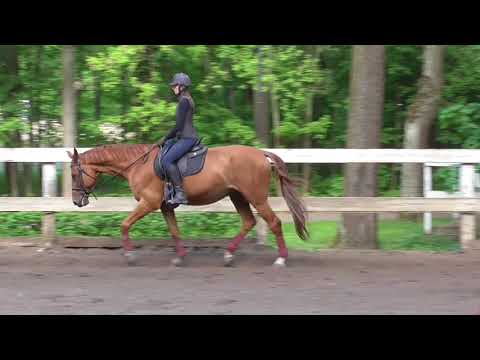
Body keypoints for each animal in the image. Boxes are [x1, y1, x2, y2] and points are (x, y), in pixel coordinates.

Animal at [66, 143, 308, 268]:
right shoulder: (165, 206)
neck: (138, 165)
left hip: (256, 197)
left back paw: (280, 259)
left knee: (274, 222)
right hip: (237, 196)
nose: (77, 201)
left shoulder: (149, 203)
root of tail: (260, 153)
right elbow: (174, 230)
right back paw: (229, 255)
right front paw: (180, 257)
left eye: (74, 174)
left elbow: (124, 225)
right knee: (248, 221)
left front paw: (129, 256)